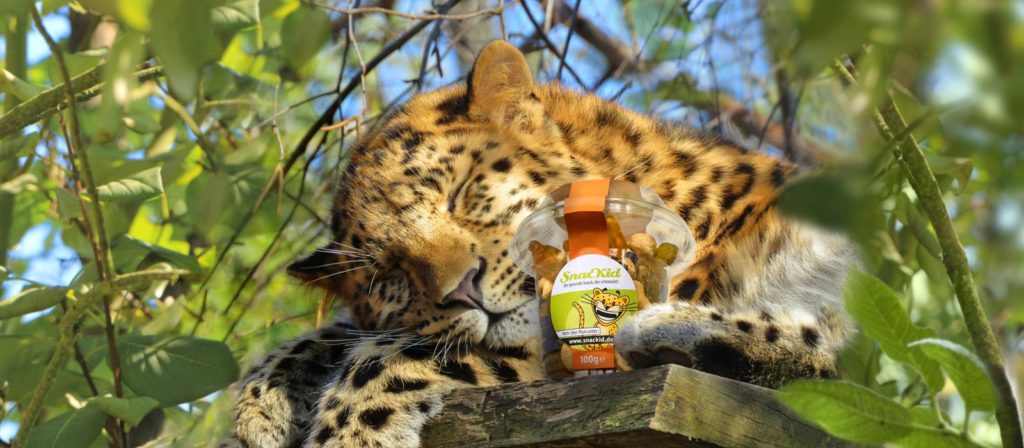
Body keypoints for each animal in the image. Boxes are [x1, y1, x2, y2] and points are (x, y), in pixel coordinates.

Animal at [229, 41, 855, 447]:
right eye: (389, 273)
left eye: (459, 192)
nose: (464, 291)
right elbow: (361, 333)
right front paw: (263, 401)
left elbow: (393, 353)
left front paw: (349, 432)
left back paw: (671, 331)